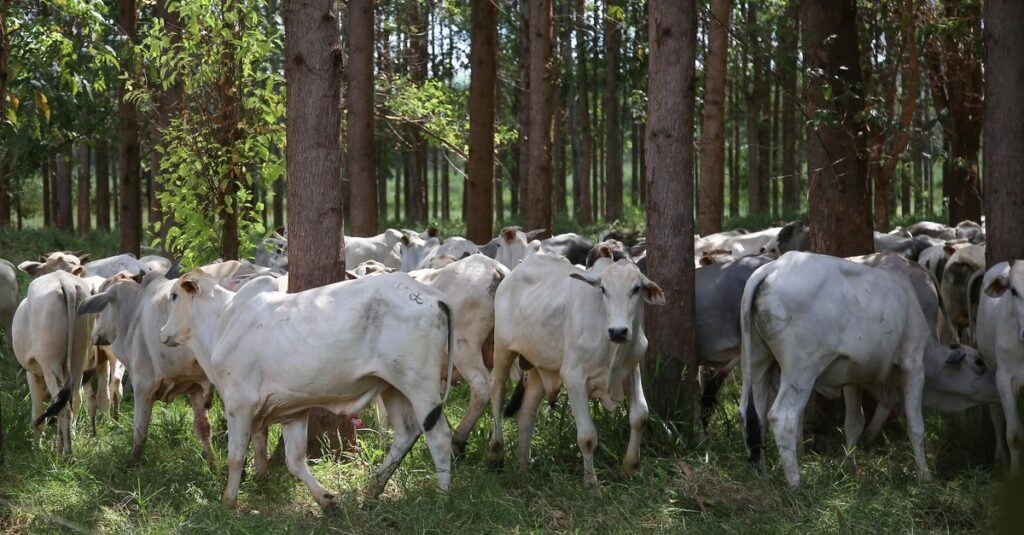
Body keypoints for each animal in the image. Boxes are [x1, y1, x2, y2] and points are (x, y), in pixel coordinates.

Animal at [11, 268, 95, 450]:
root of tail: (66, 282)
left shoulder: (32, 373)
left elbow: (38, 412)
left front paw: (36, 449)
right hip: (78, 360)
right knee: (74, 400)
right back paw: (66, 446)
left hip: (50, 365)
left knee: (64, 409)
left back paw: (67, 453)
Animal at [157, 268, 454, 506]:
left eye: (174, 296)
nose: (162, 333)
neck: (222, 322)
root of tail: (433, 296)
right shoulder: (293, 410)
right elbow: (295, 461)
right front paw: (326, 500)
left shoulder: (239, 405)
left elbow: (236, 456)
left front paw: (228, 501)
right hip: (392, 386)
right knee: (407, 432)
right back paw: (372, 490)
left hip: (419, 384)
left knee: (439, 435)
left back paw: (442, 497)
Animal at [491, 254, 667, 487]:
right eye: (603, 289)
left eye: (636, 288)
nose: (618, 331)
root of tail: (514, 272)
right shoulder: (574, 378)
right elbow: (587, 436)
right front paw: (592, 485)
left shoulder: (631, 370)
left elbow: (640, 416)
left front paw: (629, 467)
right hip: (502, 349)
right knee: (496, 390)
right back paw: (496, 452)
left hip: (540, 366)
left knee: (527, 413)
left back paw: (523, 468)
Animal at [741, 252, 933, 485]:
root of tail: (773, 268)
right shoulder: (913, 363)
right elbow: (916, 425)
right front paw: (925, 475)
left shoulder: (853, 377)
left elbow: (854, 423)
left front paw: (851, 470)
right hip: (801, 370)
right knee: (782, 417)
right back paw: (796, 483)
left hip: (757, 361)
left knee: (752, 415)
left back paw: (763, 476)